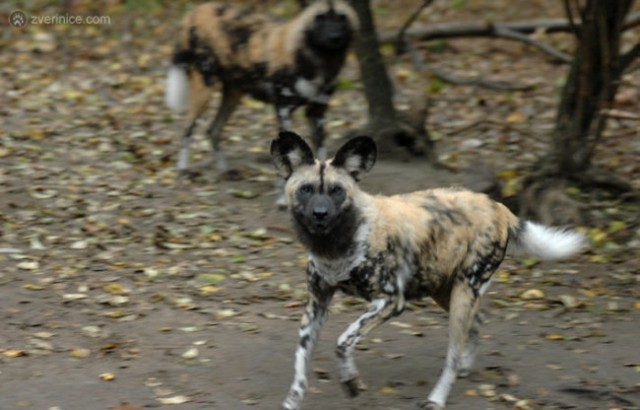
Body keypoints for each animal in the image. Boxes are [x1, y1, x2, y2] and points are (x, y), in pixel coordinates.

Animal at [165, 0, 358, 176]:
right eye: (320, 18)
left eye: (342, 17)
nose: (335, 36)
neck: (319, 61)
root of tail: (194, 11)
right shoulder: (283, 109)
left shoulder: (317, 113)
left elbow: (322, 157)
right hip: (205, 91)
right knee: (187, 128)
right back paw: (183, 169)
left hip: (233, 95)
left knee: (213, 130)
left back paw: (225, 170)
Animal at [270, 131, 584, 410]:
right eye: (306, 189)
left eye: (336, 191)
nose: (320, 214)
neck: (335, 245)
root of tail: (499, 206)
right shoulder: (316, 307)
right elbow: (300, 369)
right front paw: (293, 402)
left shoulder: (390, 301)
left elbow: (342, 341)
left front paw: (351, 382)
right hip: (445, 291)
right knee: (477, 321)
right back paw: (466, 366)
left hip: (462, 292)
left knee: (452, 354)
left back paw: (437, 398)